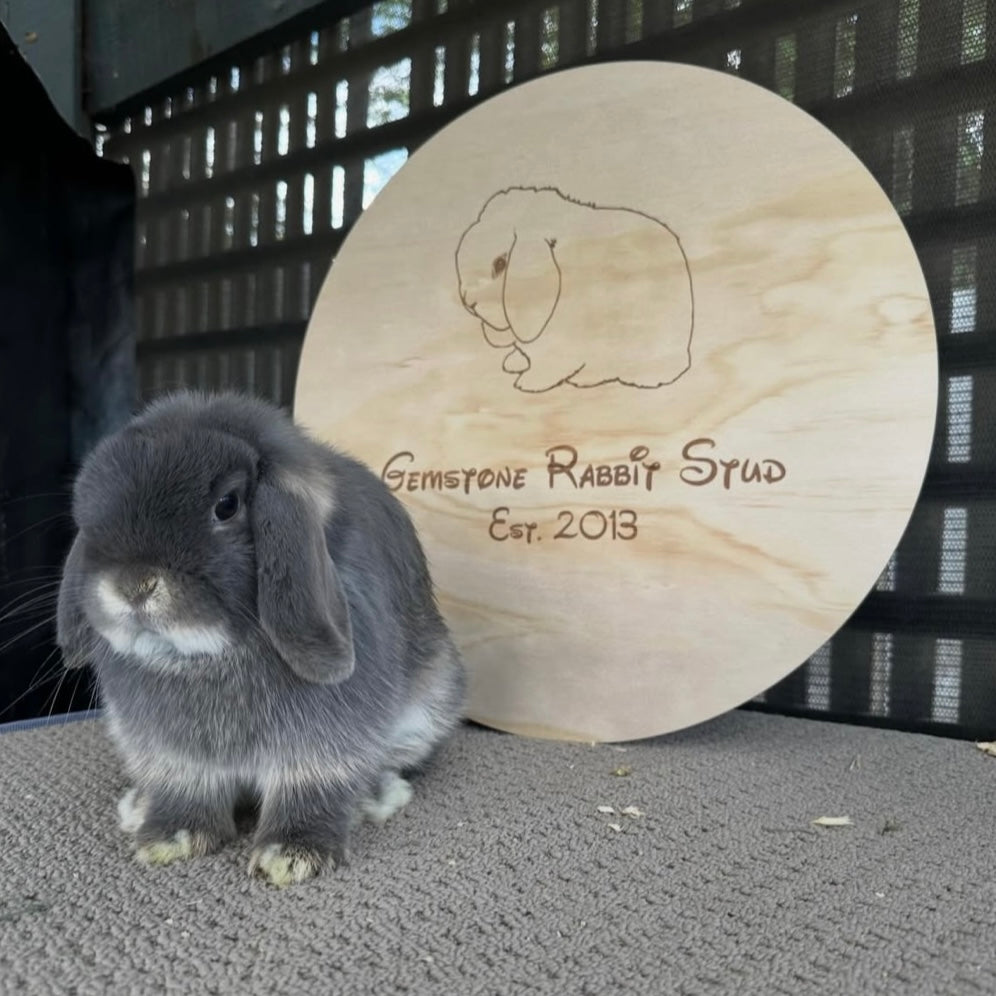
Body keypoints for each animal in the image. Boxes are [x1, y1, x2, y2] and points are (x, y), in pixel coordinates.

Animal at [56, 390, 466, 887]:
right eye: (89, 513)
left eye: (227, 505)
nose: (133, 585)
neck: (204, 658)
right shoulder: (173, 755)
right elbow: (184, 791)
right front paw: (169, 838)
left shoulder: (320, 745)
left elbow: (311, 786)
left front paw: (291, 856)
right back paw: (139, 804)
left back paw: (374, 797)